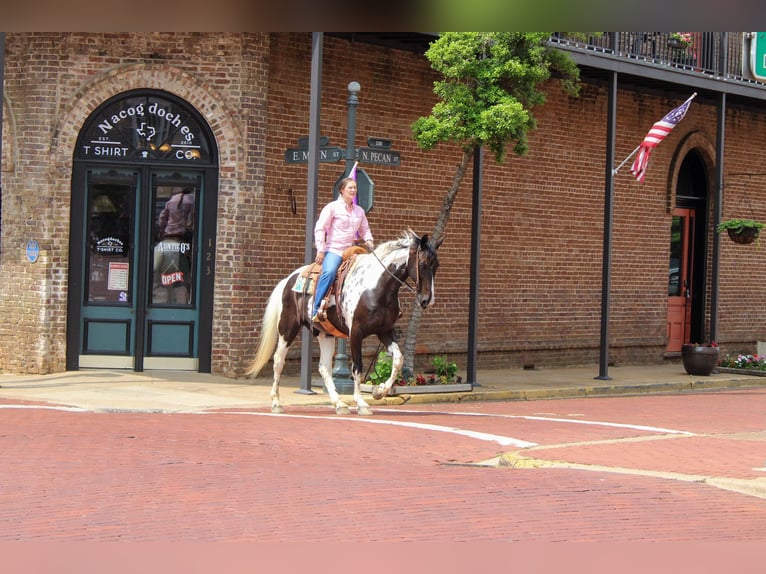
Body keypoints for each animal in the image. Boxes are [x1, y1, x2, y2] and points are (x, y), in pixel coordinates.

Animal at [248, 232, 444, 416]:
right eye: (423, 264)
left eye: (436, 265)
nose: (428, 300)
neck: (376, 288)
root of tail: (288, 280)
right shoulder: (356, 333)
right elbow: (357, 367)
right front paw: (362, 403)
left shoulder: (385, 331)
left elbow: (398, 359)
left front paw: (379, 391)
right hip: (287, 329)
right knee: (278, 361)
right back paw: (276, 402)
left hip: (325, 334)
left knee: (324, 367)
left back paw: (339, 404)